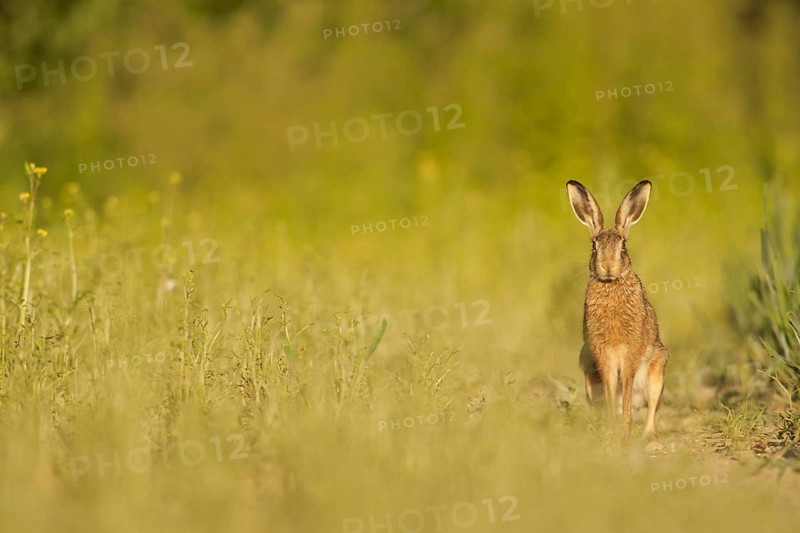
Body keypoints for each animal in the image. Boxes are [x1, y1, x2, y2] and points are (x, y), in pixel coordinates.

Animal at [565, 179, 669, 439]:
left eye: (623, 246)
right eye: (594, 246)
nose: (608, 266)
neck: (611, 283)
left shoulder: (631, 350)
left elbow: (627, 382)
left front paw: (624, 430)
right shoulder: (603, 353)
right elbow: (612, 387)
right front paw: (614, 428)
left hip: (657, 371)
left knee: (652, 408)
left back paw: (649, 437)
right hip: (589, 379)